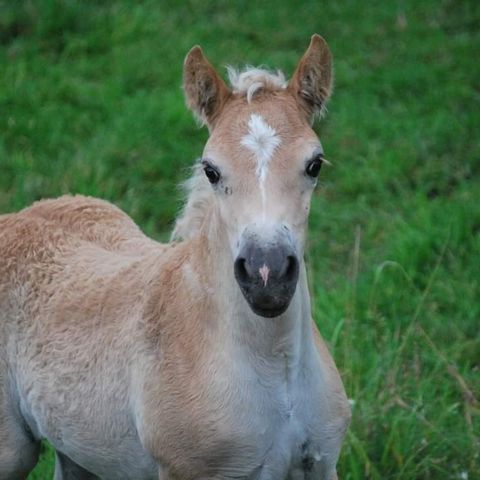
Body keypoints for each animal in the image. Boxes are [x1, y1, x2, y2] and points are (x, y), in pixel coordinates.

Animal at [1, 34, 350, 480]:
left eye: (314, 164)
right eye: (211, 170)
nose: (266, 275)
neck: (276, 365)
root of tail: (16, 217)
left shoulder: (321, 463)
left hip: (79, 452)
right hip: (10, 451)